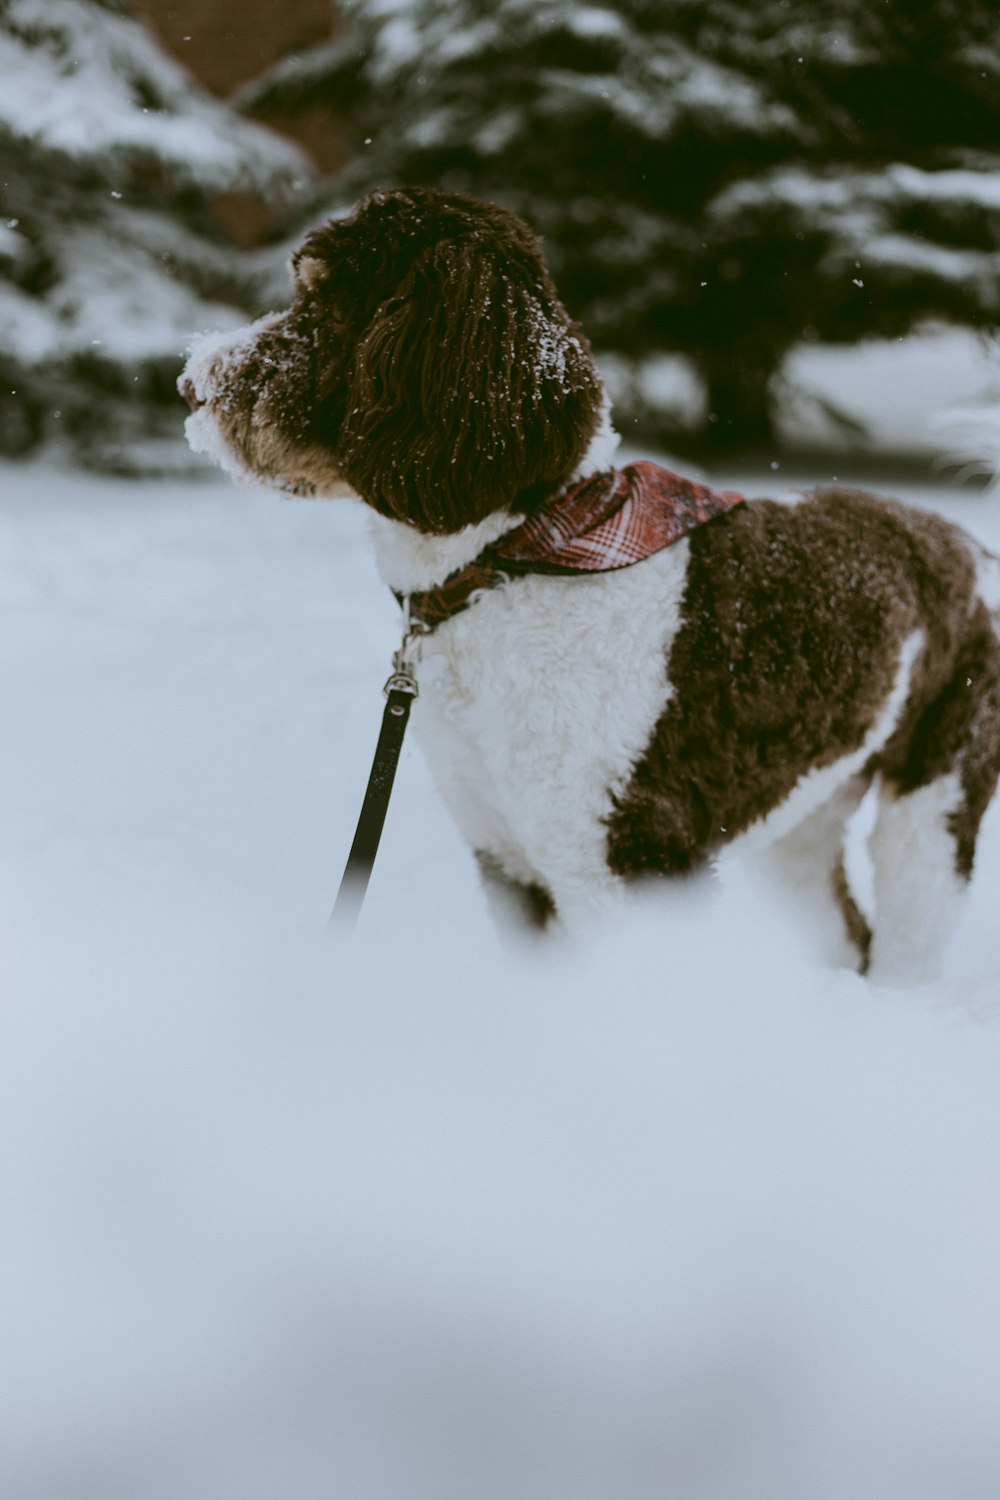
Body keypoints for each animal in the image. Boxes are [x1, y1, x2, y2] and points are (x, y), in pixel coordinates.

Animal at [179, 184, 1000, 984]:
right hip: (802, 816)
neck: (517, 558)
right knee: (843, 933)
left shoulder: (624, 853)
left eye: (324, 303)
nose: (190, 381)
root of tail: (965, 543)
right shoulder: (507, 853)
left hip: (935, 799)